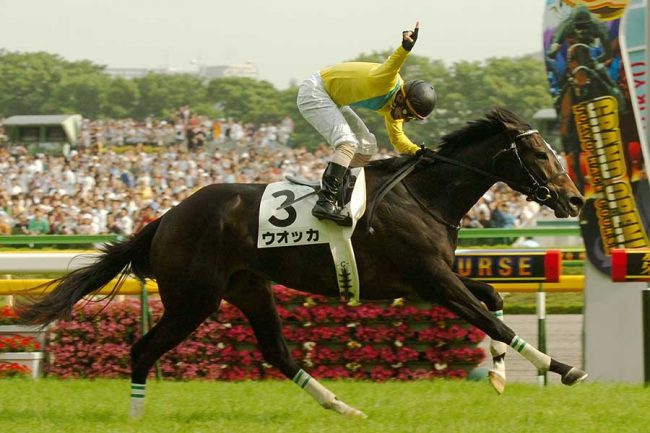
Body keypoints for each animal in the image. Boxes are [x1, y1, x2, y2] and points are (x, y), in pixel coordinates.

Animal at [17, 107, 587, 419]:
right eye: (541, 155)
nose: (576, 199)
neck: (425, 195)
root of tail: (166, 217)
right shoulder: (432, 278)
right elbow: (491, 317)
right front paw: (563, 368)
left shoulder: (433, 279)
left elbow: (493, 301)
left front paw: (499, 373)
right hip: (193, 299)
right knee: (142, 350)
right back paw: (136, 415)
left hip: (248, 288)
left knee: (278, 351)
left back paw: (342, 406)